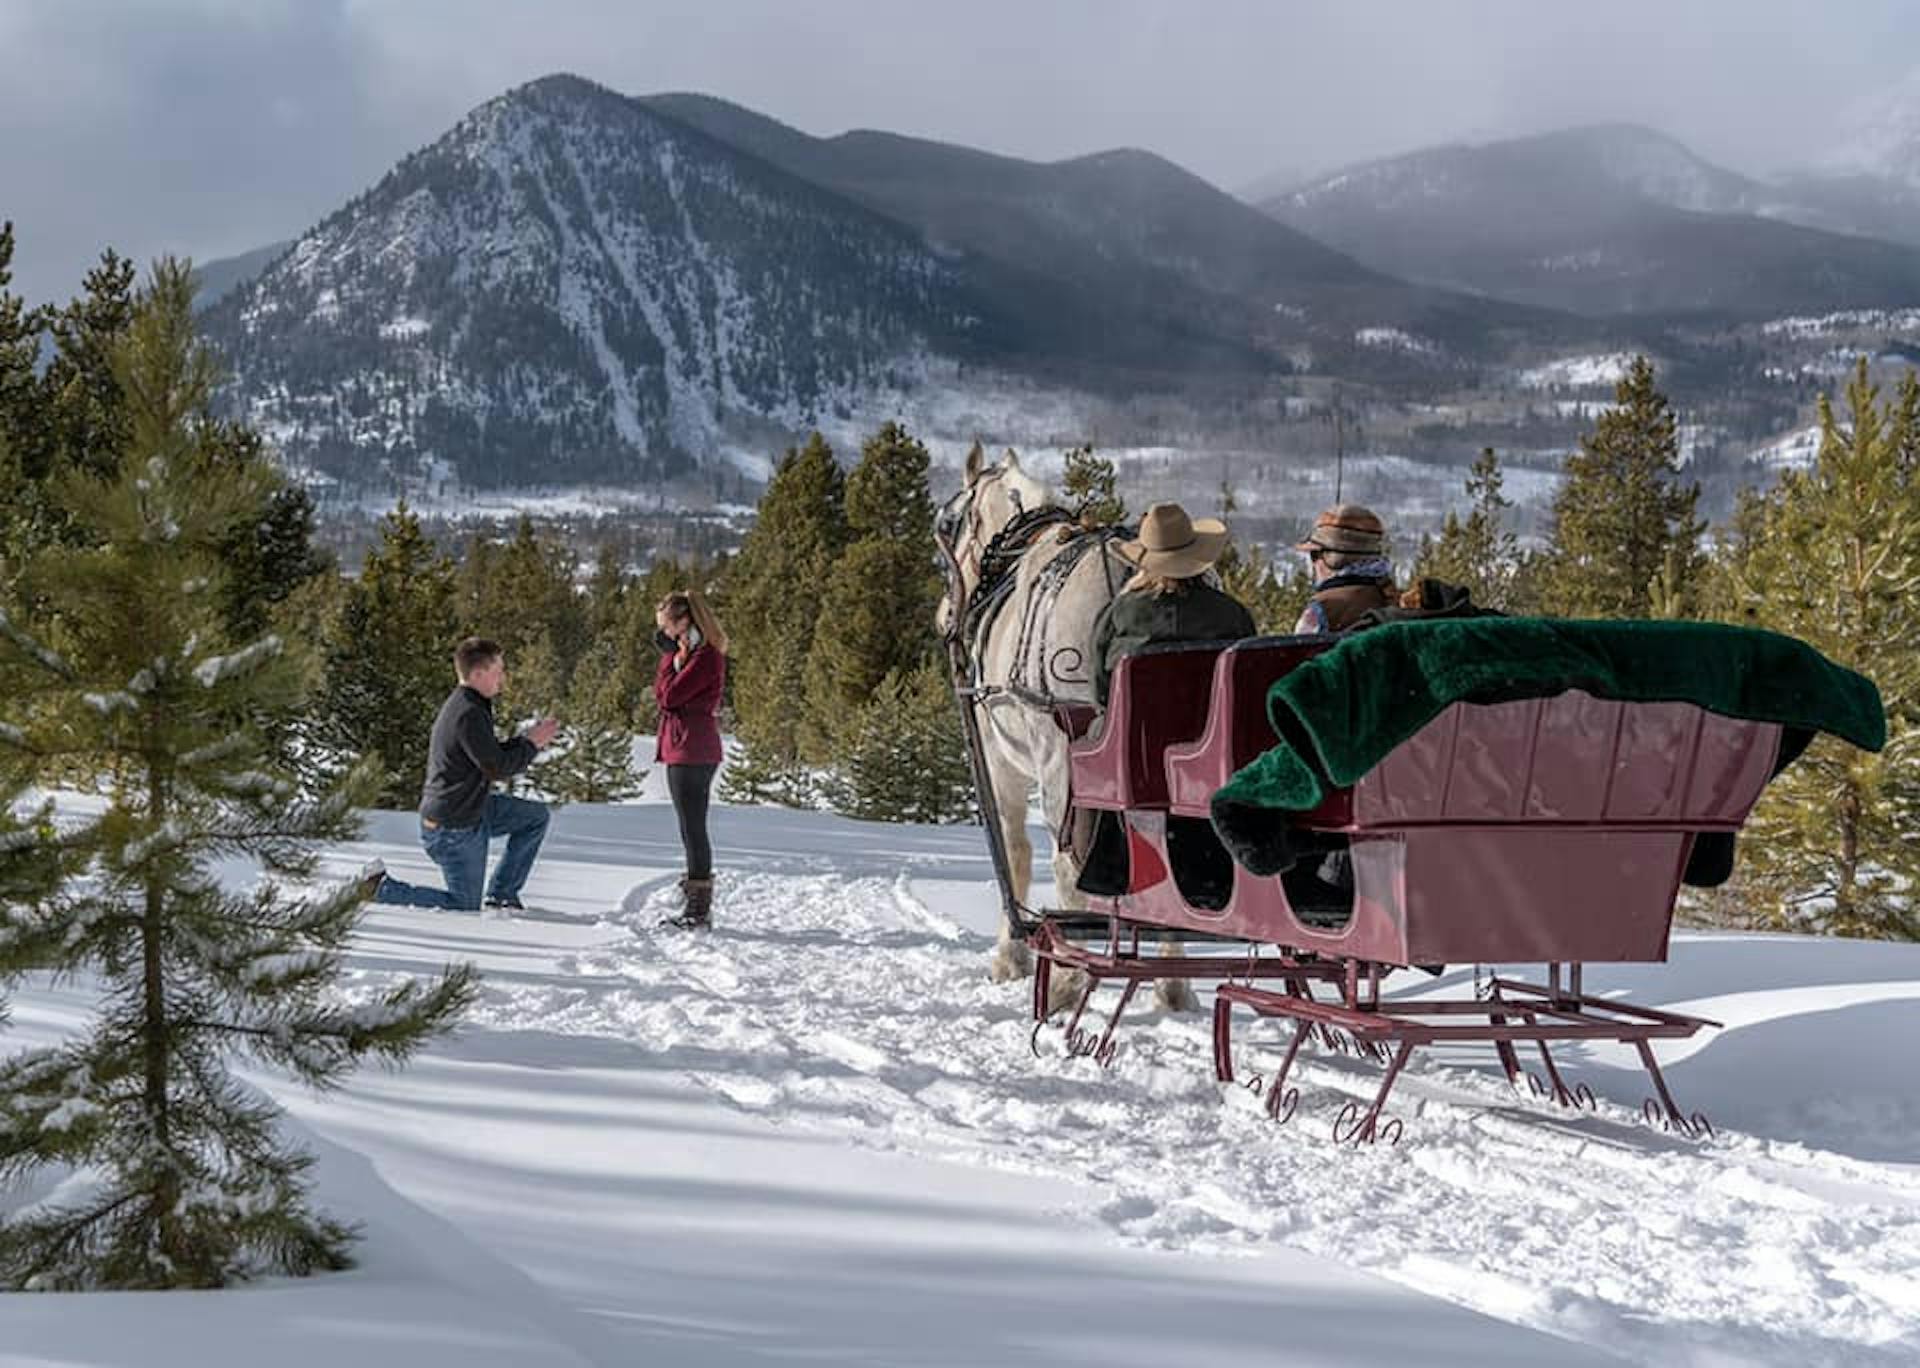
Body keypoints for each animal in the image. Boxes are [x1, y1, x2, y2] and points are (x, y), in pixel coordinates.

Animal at [933, 449, 1190, 1014]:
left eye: (949, 522)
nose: (943, 616)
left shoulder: (999, 759)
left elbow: (1014, 853)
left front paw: (1011, 958)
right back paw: (1173, 984)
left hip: (1061, 762)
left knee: (1066, 859)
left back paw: (1068, 984)